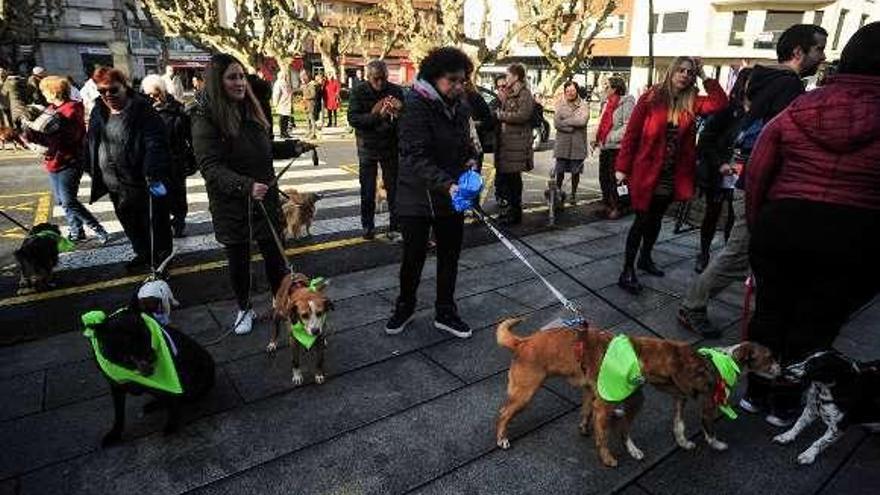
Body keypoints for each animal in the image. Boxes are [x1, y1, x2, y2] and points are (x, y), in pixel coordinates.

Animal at [82, 306, 217, 446]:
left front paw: (171, 426)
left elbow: (173, 403)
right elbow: (119, 414)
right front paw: (115, 433)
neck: (129, 369)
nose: (153, 356)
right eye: (129, 340)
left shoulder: (173, 381)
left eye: (147, 333)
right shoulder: (116, 387)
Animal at [498, 318, 780, 468]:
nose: (783, 369)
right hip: (525, 392)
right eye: (769, 358)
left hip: (609, 394)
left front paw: (680, 442)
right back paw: (502, 438)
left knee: (594, 413)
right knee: (503, 412)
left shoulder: (669, 398)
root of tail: (523, 342)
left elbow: (671, 426)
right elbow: (606, 435)